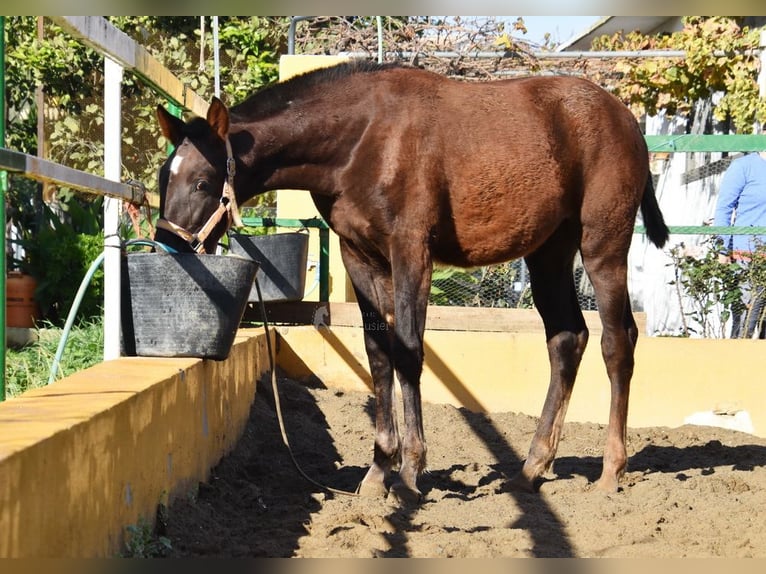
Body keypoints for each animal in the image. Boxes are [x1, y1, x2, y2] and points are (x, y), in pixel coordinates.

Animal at [153, 60, 668, 506]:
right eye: (163, 177)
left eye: (202, 182)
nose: (167, 247)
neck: (362, 140)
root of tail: (625, 117)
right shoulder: (360, 257)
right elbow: (379, 355)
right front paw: (378, 471)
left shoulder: (411, 252)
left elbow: (409, 352)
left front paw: (409, 472)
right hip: (549, 255)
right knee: (567, 339)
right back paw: (532, 467)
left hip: (603, 247)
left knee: (617, 342)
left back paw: (610, 472)